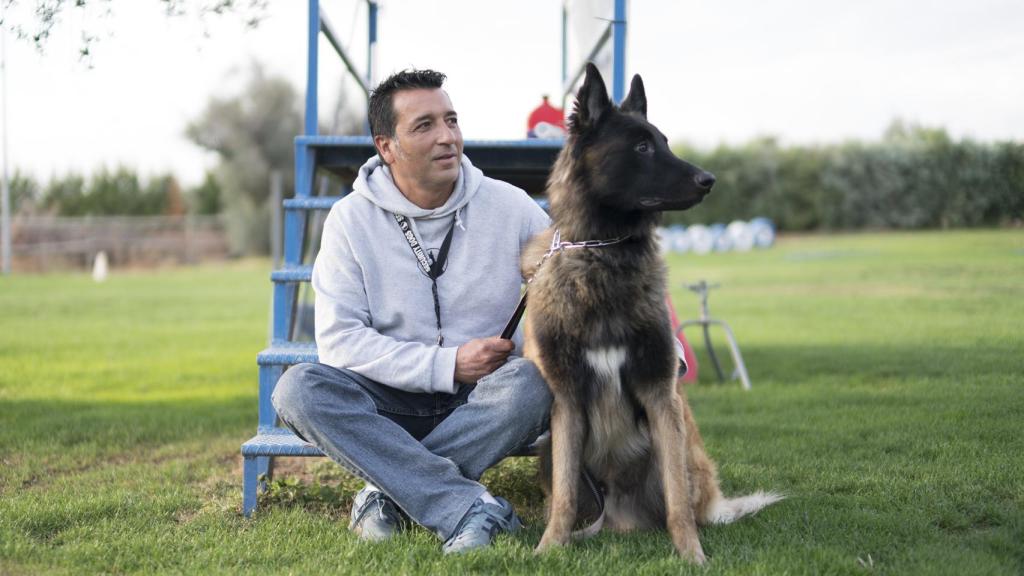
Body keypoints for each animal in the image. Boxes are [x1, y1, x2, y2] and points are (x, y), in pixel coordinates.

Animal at [524, 62, 778, 561]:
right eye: (641, 147)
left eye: (664, 141)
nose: (709, 180)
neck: (602, 253)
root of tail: (619, 518)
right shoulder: (566, 402)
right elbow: (564, 495)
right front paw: (549, 548)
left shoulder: (661, 395)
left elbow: (677, 503)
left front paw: (692, 556)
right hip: (547, 448)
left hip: (680, 452)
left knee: (686, 499)